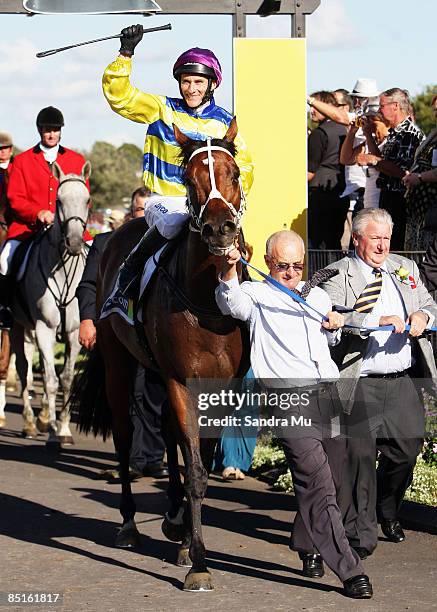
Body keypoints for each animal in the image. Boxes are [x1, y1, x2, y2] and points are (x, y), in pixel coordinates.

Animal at [12, 159, 90, 444]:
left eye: (87, 200)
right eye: (58, 200)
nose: (75, 242)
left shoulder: (75, 332)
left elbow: (65, 379)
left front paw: (64, 428)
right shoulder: (45, 328)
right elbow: (50, 380)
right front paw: (55, 431)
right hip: (17, 326)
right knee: (24, 370)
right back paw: (30, 423)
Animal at [76, 117, 249, 592]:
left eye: (234, 173)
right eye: (189, 179)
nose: (219, 229)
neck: (208, 302)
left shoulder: (221, 386)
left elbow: (198, 459)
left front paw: (188, 543)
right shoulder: (181, 379)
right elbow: (196, 469)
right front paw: (200, 565)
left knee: (169, 434)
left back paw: (173, 521)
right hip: (120, 365)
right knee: (124, 436)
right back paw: (129, 525)